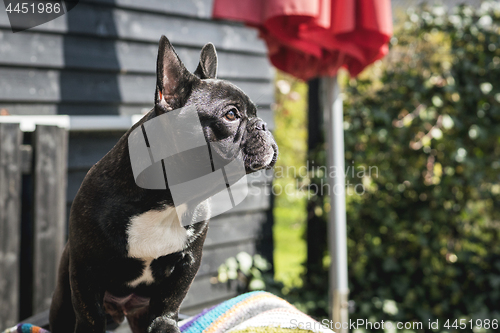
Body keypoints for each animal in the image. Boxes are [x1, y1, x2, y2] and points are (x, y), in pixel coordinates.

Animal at [49, 36, 278, 332]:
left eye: (255, 114)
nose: (262, 125)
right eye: (231, 115)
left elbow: (168, 305)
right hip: (63, 296)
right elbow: (90, 315)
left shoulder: (186, 264)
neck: (168, 199)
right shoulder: (85, 268)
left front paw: (165, 325)